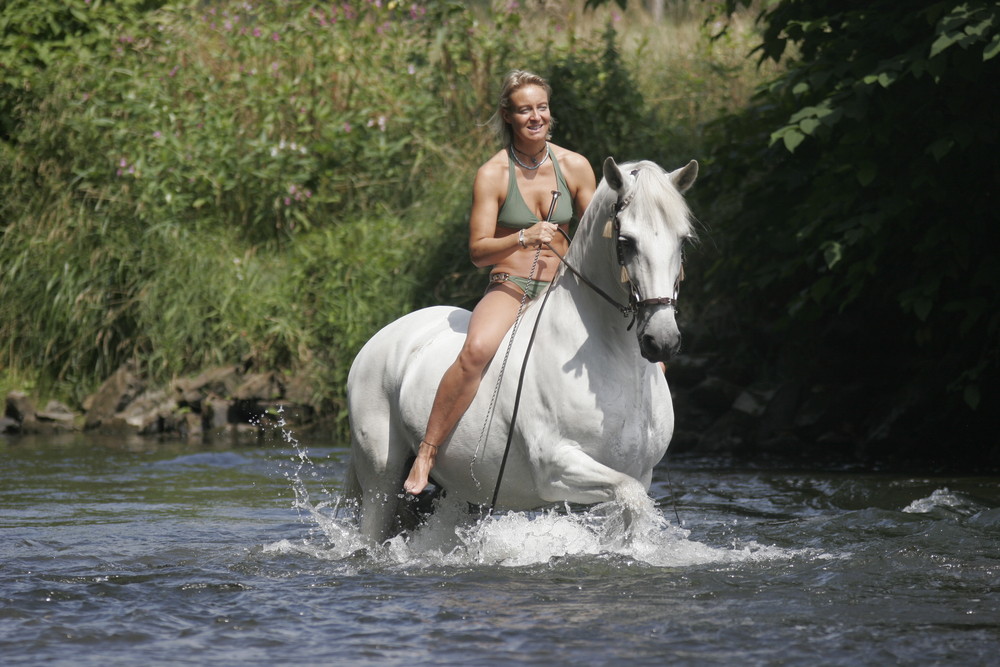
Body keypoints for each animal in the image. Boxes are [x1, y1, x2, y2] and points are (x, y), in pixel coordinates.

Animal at [348, 157, 700, 544]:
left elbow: (631, 512)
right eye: (627, 241)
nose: (662, 340)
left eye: (683, 240)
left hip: (460, 489)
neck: (613, 361)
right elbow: (631, 496)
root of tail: (378, 340)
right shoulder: (558, 466)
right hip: (381, 475)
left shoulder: (639, 471)